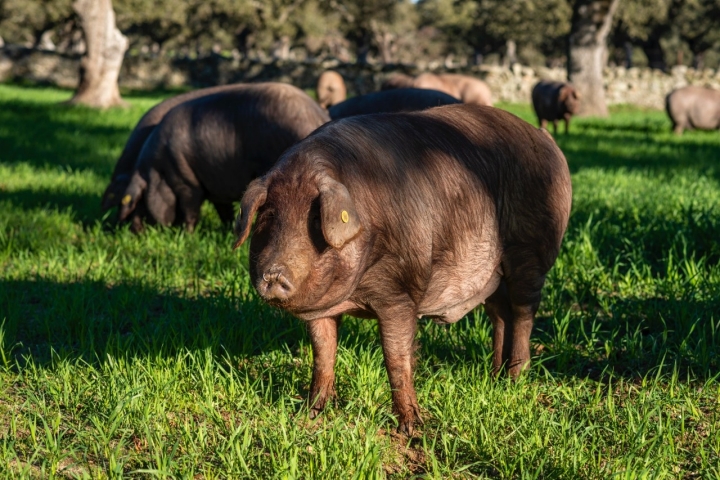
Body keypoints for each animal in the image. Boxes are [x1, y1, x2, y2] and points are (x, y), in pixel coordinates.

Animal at [118, 83, 329, 232]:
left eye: (141, 201)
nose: (134, 231)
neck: (159, 171)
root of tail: (318, 114)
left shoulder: (187, 182)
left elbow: (190, 211)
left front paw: (188, 234)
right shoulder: (215, 189)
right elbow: (224, 211)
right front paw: (227, 228)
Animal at [233, 104, 572, 435]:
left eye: (315, 220)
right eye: (269, 216)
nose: (274, 275)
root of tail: (546, 140)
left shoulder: (400, 292)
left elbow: (396, 358)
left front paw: (411, 429)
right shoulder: (323, 308)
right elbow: (323, 352)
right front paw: (311, 413)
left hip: (530, 251)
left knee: (524, 313)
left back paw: (516, 377)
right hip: (493, 275)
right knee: (500, 314)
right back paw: (494, 376)